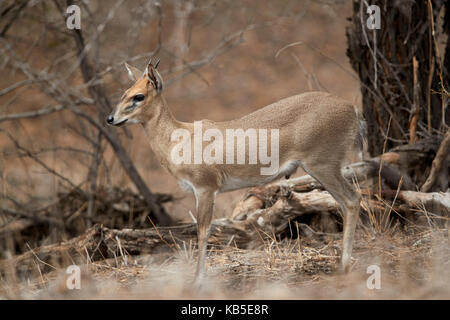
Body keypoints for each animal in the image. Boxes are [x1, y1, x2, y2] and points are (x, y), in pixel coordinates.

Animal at [107, 57, 364, 280]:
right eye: (124, 93)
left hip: (323, 165)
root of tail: (353, 111)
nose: (111, 118)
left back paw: (344, 267)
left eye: (139, 96)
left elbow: (203, 232)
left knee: (353, 199)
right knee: (343, 203)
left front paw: (198, 280)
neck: (178, 139)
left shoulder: (206, 188)